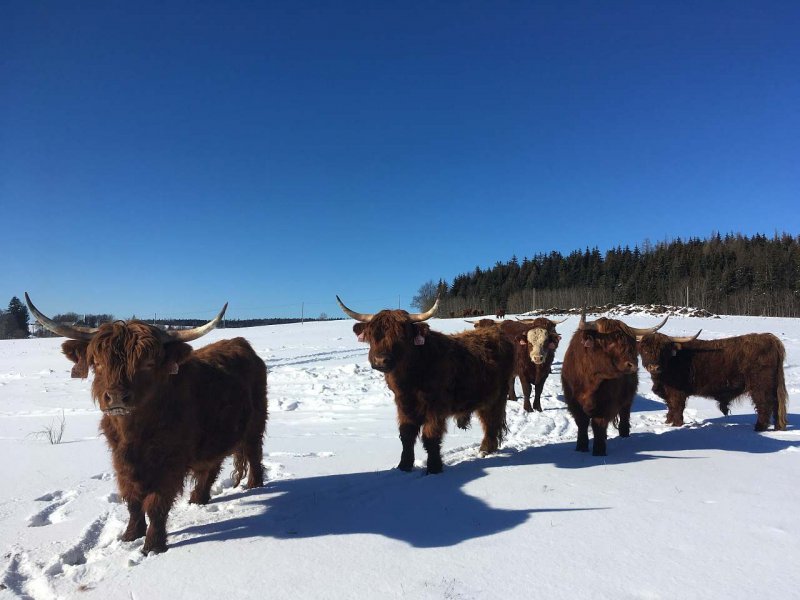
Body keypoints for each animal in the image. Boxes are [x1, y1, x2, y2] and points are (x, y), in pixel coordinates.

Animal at [25, 294, 267, 554]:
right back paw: (198, 499)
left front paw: (153, 546)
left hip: (256, 422)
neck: (134, 433)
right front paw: (130, 535)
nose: (117, 397)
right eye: (97, 362)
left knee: (254, 453)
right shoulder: (120, 460)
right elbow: (132, 500)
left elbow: (155, 504)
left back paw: (254, 486)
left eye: (148, 363)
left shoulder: (170, 463)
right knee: (211, 465)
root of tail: (239, 342)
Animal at [337, 296, 515, 474]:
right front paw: (404, 466)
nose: (380, 360)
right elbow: (406, 435)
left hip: (497, 396)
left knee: (491, 421)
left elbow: (431, 436)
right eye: (372, 335)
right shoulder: (403, 405)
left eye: (402, 336)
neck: (410, 379)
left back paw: (485, 449)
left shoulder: (436, 407)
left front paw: (434, 468)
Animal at [561, 312, 666, 456]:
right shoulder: (573, 403)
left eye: (631, 343)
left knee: (625, 414)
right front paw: (581, 447)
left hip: (628, 398)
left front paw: (599, 451)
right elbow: (582, 423)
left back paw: (624, 435)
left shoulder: (605, 403)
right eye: (610, 342)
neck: (590, 381)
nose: (632, 364)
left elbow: (598, 424)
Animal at [637, 331, 788, 431]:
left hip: (760, 386)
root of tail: (770, 338)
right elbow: (669, 406)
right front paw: (667, 422)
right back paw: (778, 427)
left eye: (663, 350)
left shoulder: (677, 393)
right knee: (777, 404)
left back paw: (759, 427)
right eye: (645, 350)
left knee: (765, 404)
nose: (654, 367)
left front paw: (676, 425)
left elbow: (676, 407)